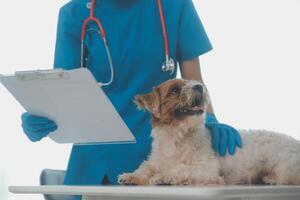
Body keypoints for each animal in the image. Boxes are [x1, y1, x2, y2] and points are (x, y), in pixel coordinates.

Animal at [117, 79, 300, 185]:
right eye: (175, 90)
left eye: (193, 83)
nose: (199, 86)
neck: (177, 138)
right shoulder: (156, 161)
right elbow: (145, 167)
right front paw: (131, 176)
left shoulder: (207, 170)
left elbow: (181, 169)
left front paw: (164, 176)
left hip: (284, 167)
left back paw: (270, 178)